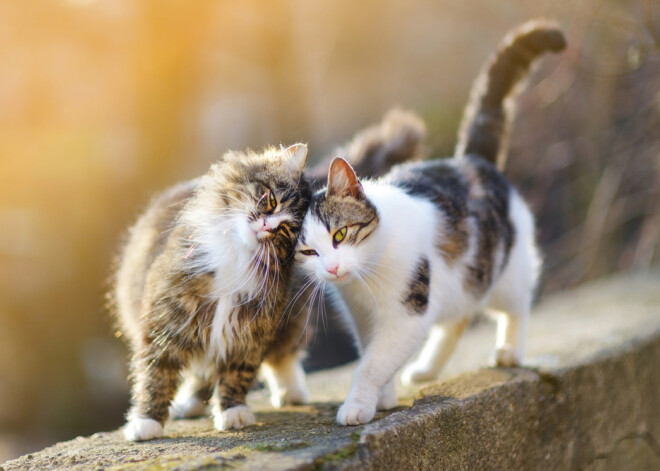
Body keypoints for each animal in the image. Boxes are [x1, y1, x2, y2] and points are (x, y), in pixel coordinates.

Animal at [112, 109, 422, 440]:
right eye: (270, 200)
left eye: (286, 230)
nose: (267, 226)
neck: (237, 256)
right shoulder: (170, 318)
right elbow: (156, 375)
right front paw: (146, 421)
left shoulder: (252, 326)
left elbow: (237, 373)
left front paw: (232, 411)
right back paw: (190, 403)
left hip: (291, 318)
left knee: (282, 356)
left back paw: (290, 392)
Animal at [296, 21, 564, 428]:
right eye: (308, 251)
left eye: (340, 234)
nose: (333, 267)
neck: (365, 279)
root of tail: (471, 160)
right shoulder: (363, 318)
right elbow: (373, 354)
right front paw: (383, 397)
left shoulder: (407, 314)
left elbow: (372, 364)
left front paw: (358, 404)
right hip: (460, 281)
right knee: (459, 317)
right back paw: (426, 369)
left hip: (506, 270)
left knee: (517, 305)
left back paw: (509, 350)